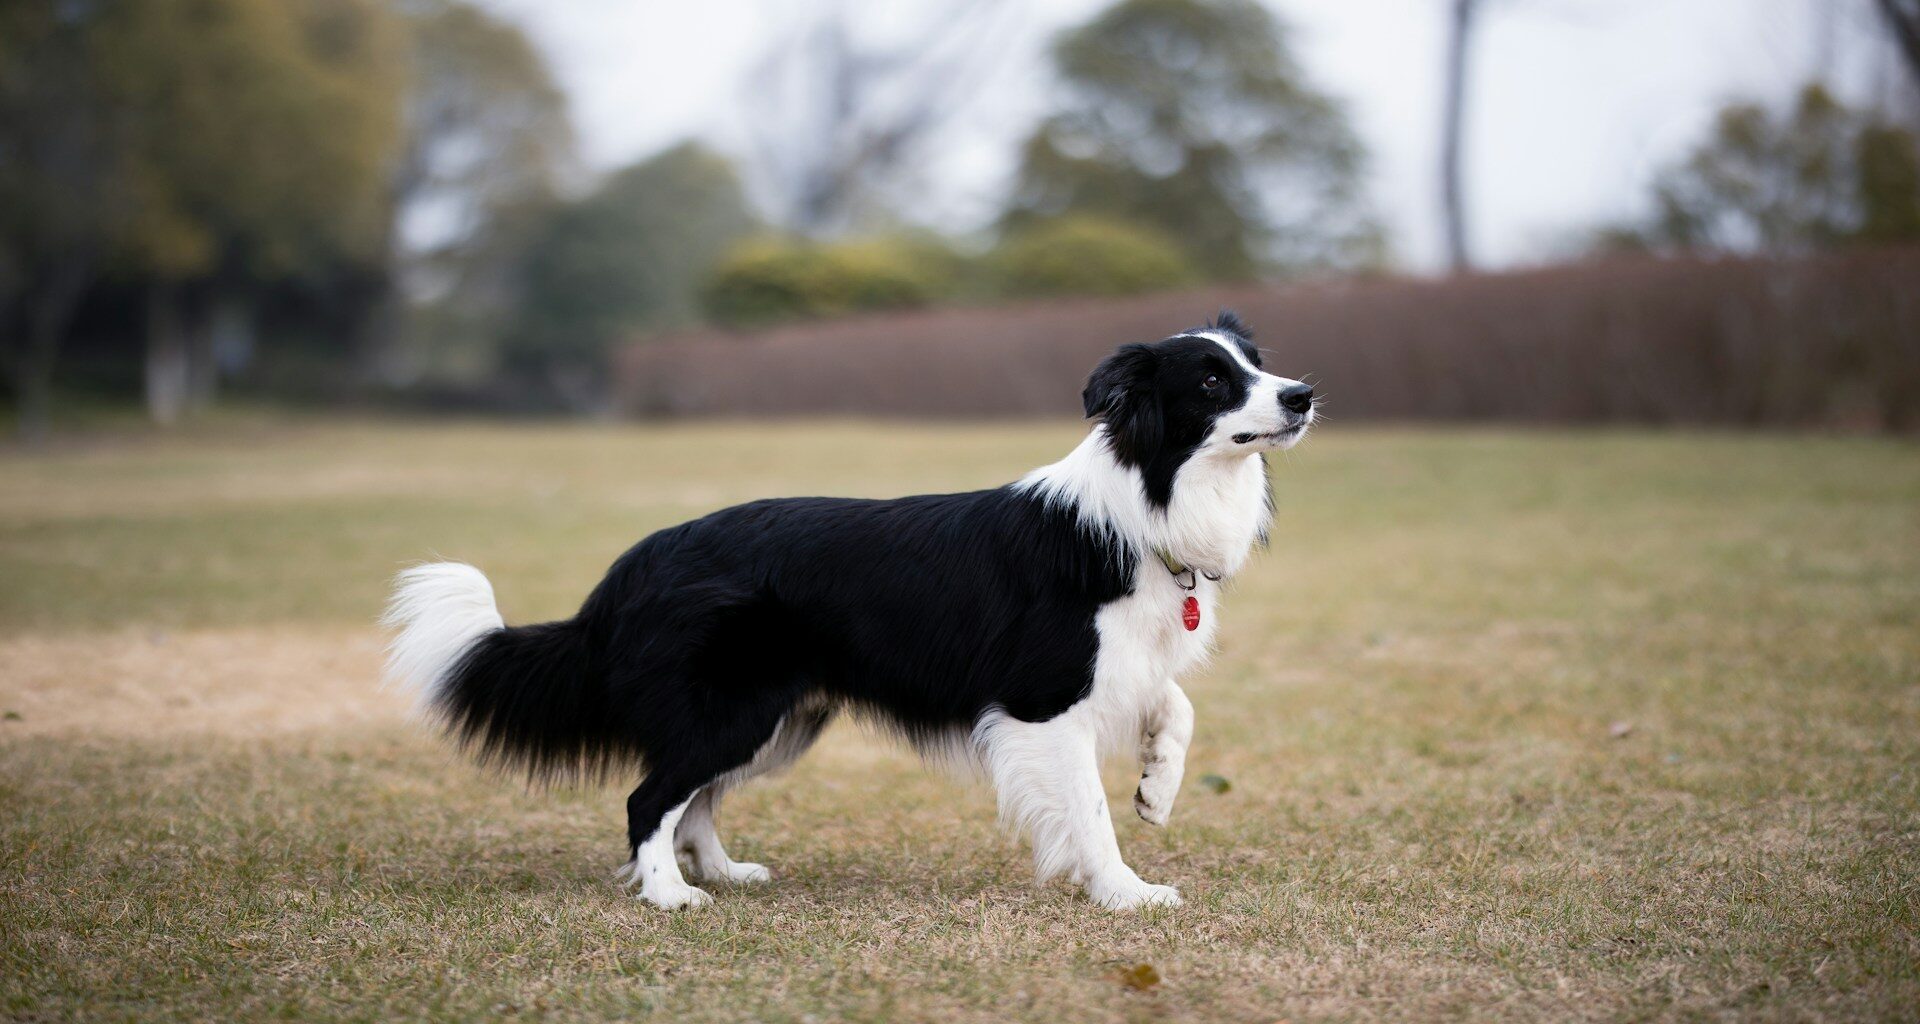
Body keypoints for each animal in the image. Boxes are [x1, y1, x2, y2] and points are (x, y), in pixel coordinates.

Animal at [389, 313, 1320, 910]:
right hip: (736, 709)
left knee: (697, 798)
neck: (1144, 501)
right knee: (649, 798)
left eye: (1257, 362)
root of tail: (636, 562)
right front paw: (1126, 891)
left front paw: (1157, 787)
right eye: (1211, 379)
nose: (1304, 393)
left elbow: (1176, 701)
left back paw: (720, 873)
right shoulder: (1044, 701)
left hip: (775, 721)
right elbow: (1088, 812)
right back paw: (670, 896)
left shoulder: (1119, 662)